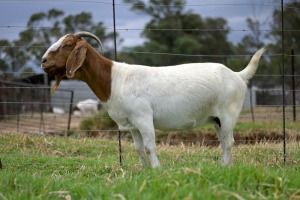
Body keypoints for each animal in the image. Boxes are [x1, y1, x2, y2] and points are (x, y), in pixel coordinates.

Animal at [41, 31, 266, 168]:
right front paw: (143, 169)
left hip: (228, 114)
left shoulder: (143, 118)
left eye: (68, 44)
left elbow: (150, 145)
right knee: (223, 141)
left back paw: (225, 167)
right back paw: (224, 167)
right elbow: (139, 148)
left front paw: (157, 169)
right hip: (217, 119)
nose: (43, 61)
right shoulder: (131, 124)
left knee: (229, 142)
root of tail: (238, 75)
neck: (115, 79)